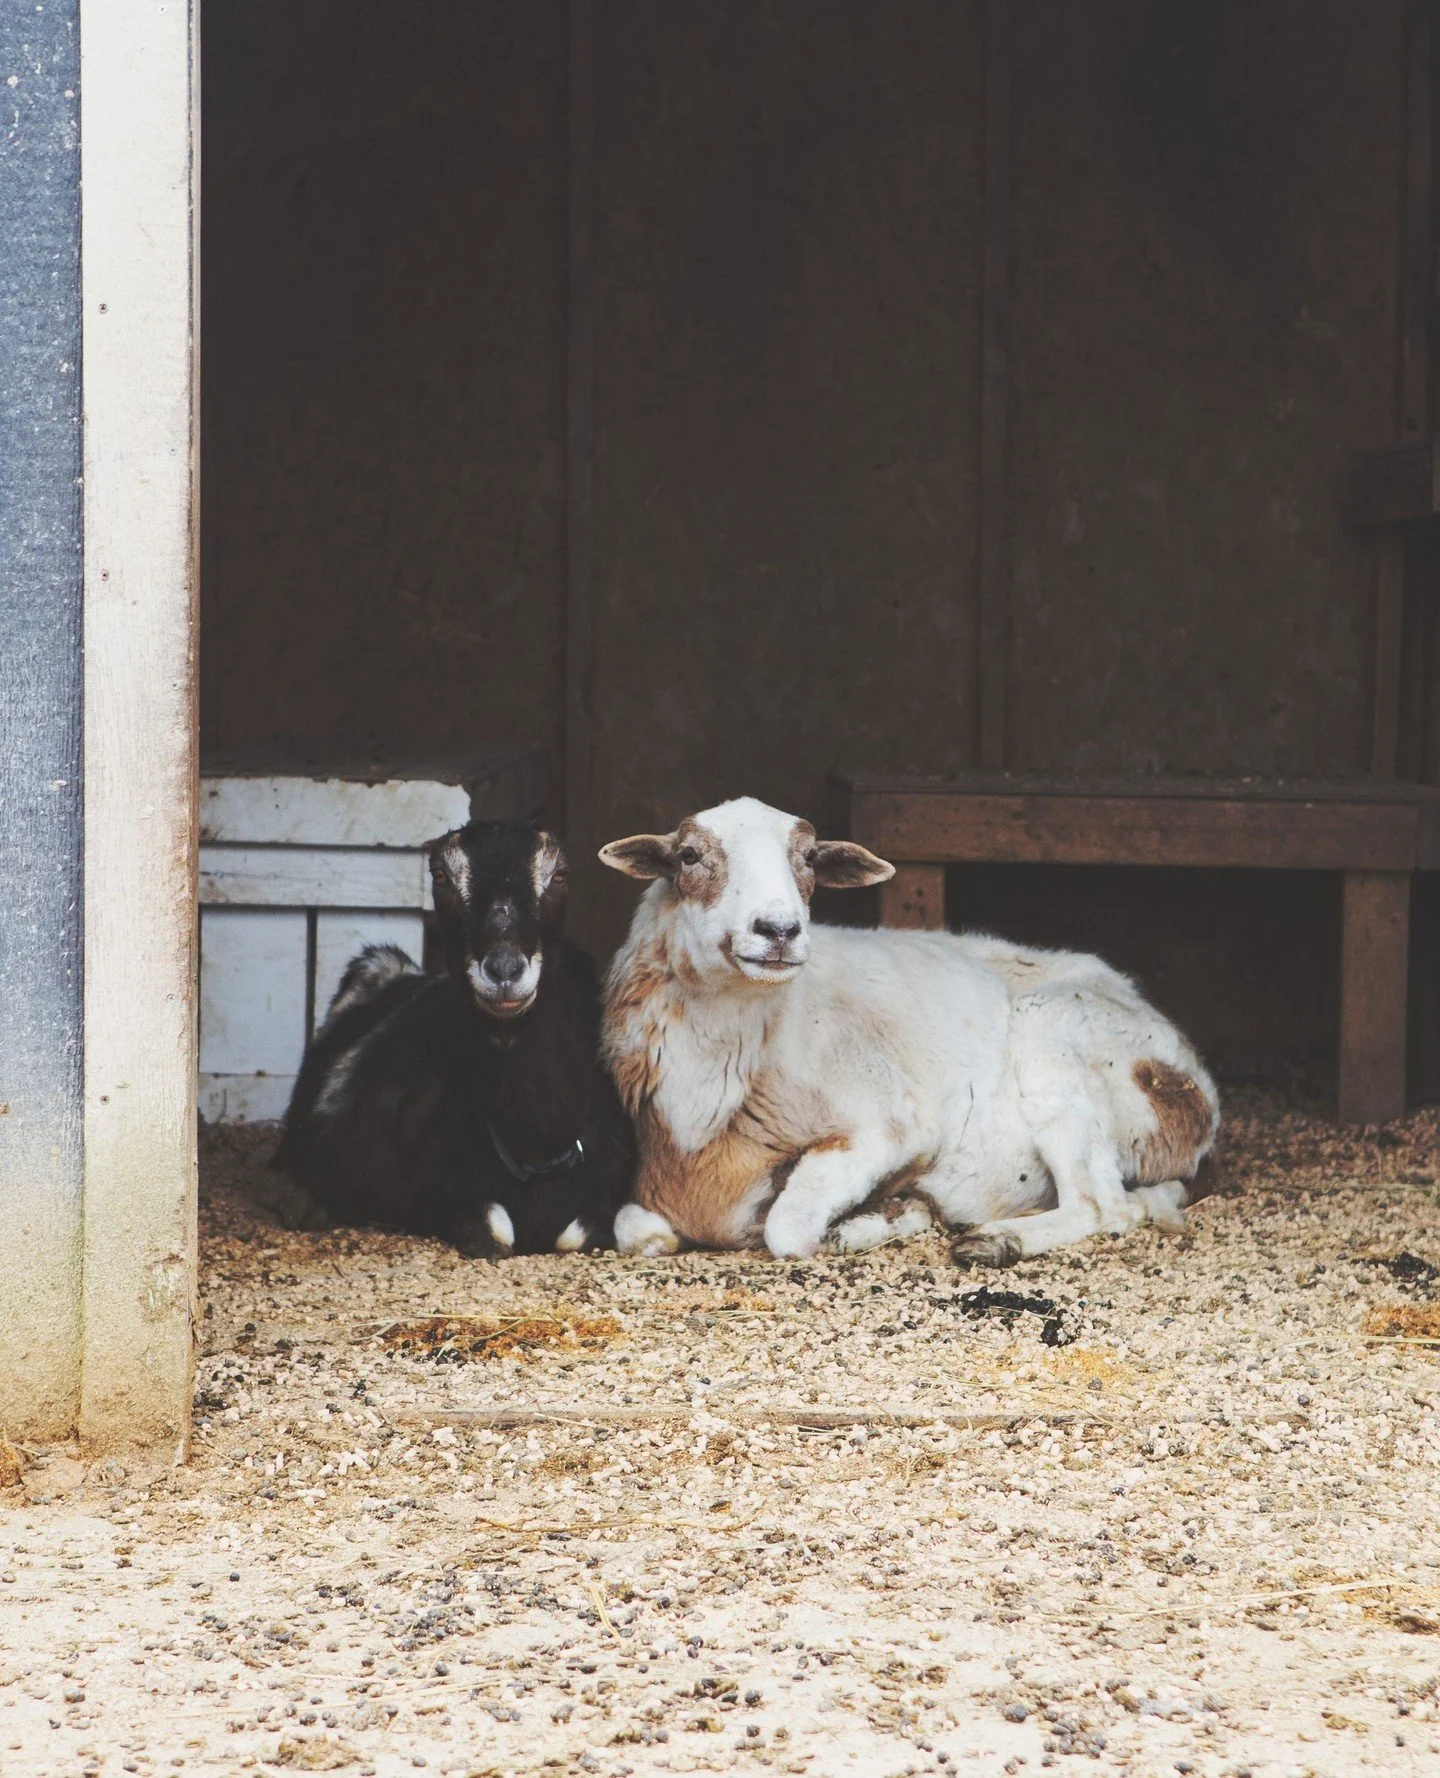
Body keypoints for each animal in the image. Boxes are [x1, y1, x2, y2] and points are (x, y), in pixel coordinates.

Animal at [271, 822, 634, 1256]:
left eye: (560, 875)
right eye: (440, 876)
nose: (505, 969)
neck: (536, 1145)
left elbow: (575, 1233)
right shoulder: (429, 1192)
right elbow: (495, 1229)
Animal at [598, 796, 1219, 1264]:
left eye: (809, 859)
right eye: (688, 855)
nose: (778, 929)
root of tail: (1200, 1092)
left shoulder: (892, 1124)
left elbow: (786, 1228)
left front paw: (861, 1223)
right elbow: (634, 1231)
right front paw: (891, 1213)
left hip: (1056, 1045)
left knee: (1101, 1206)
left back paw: (996, 1241)